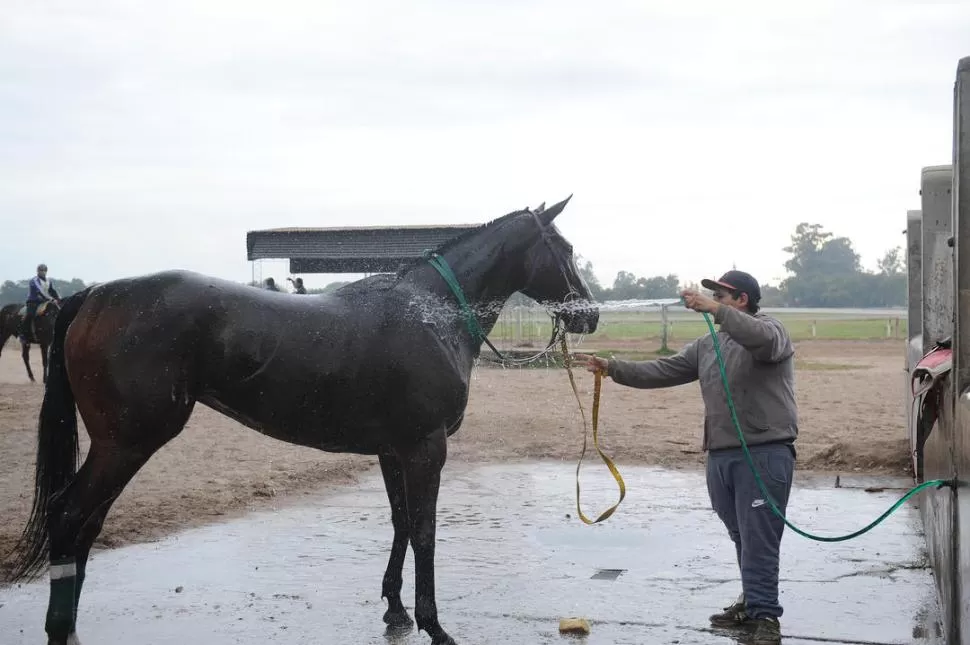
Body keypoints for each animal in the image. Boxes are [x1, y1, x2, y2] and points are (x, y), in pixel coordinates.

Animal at [7, 195, 596, 644]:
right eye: (565, 249)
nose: (588, 314)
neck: (431, 312)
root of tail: (93, 296)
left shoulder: (394, 449)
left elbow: (401, 522)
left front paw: (396, 609)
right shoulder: (426, 448)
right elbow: (426, 531)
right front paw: (435, 626)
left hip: (119, 446)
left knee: (86, 524)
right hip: (125, 443)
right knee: (69, 517)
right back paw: (59, 627)